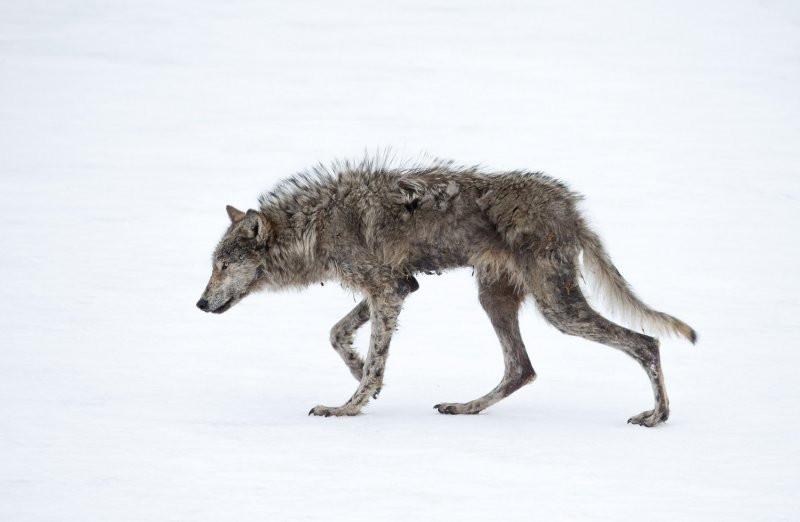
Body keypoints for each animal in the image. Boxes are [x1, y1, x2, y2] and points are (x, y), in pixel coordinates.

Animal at [197, 156, 696, 424]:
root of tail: (570, 208)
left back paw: (656, 417)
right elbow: (339, 335)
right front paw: (361, 378)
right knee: (522, 369)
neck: (315, 226)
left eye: (223, 266)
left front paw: (348, 408)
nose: (200, 303)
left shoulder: (388, 287)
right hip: (496, 300)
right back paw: (465, 407)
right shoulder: (401, 285)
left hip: (559, 309)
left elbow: (371, 358)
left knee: (646, 342)